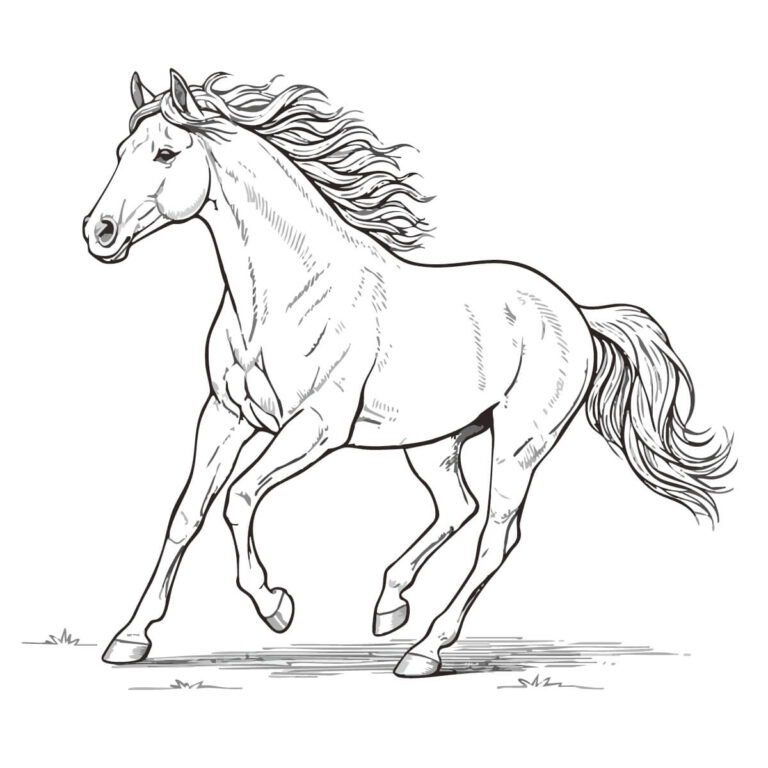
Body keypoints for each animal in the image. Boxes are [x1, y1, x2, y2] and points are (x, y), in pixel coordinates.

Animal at [82, 70, 732, 677]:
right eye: (120, 150)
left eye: (166, 154)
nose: (98, 232)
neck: (284, 295)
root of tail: (576, 312)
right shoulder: (226, 416)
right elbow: (185, 515)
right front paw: (130, 639)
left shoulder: (316, 426)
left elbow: (238, 499)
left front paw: (276, 606)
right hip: (434, 441)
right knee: (457, 508)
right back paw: (390, 605)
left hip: (520, 444)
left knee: (495, 536)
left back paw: (423, 651)